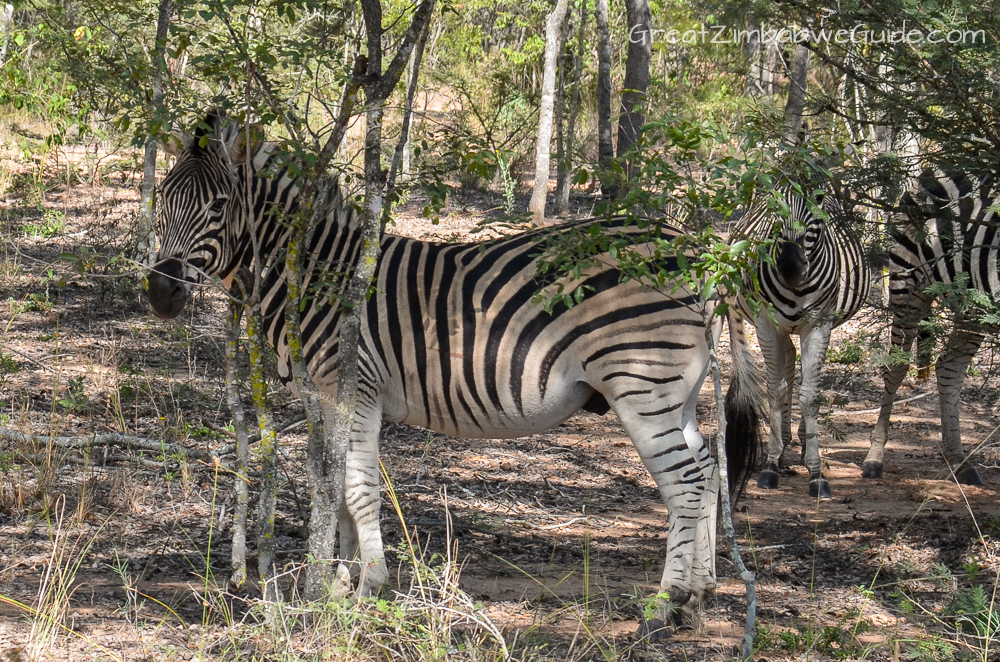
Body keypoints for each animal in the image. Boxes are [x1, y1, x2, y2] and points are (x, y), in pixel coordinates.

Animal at [143, 113, 764, 632]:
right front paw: (338, 587)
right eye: (162, 197)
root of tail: (702, 252)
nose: (160, 293)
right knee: (707, 469)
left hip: (641, 381)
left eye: (220, 205)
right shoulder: (326, 393)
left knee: (684, 482)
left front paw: (369, 589)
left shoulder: (356, 386)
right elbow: (334, 486)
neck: (318, 272)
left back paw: (665, 606)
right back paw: (700, 595)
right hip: (677, 390)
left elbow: (359, 488)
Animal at [728, 187, 876, 498]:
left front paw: (816, 472)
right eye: (775, 214)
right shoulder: (766, 323)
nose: (790, 269)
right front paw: (771, 465)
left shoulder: (819, 324)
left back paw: (801, 441)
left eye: (816, 210)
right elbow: (776, 391)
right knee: (786, 367)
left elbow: (810, 396)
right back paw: (782, 446)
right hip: (778, 327)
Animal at [864, 167, 996, 488]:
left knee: (949, 366)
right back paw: (874, 456)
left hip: (974, 305)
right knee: (896, 366)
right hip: (908, 284)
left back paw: (959, 460)